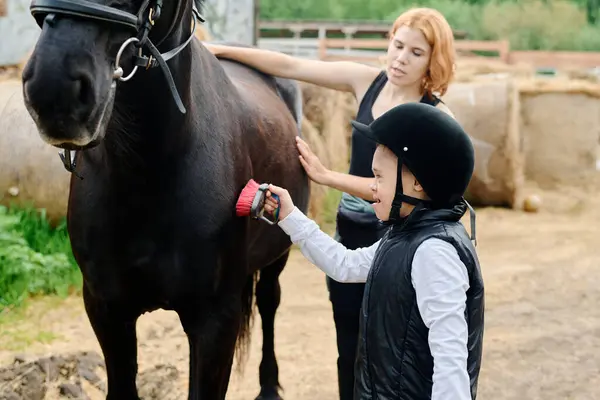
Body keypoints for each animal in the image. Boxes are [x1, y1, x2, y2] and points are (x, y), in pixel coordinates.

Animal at [21, 1, 310, 398]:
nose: (54, 89)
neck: (148, 173)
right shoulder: (107, 311)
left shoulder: (215, 321)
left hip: (276, 257)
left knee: (269, 304)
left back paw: (268, 386)